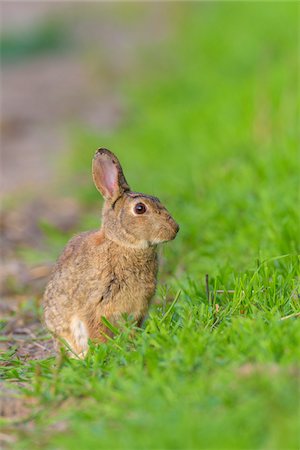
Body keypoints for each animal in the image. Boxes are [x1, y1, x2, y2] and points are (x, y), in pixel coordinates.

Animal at [42, 149, 178, 356]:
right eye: (140, 208)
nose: (175, 229)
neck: (124, 244)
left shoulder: (139, 307)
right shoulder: (95, 306)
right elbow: (97, 331)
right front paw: (104, 350)